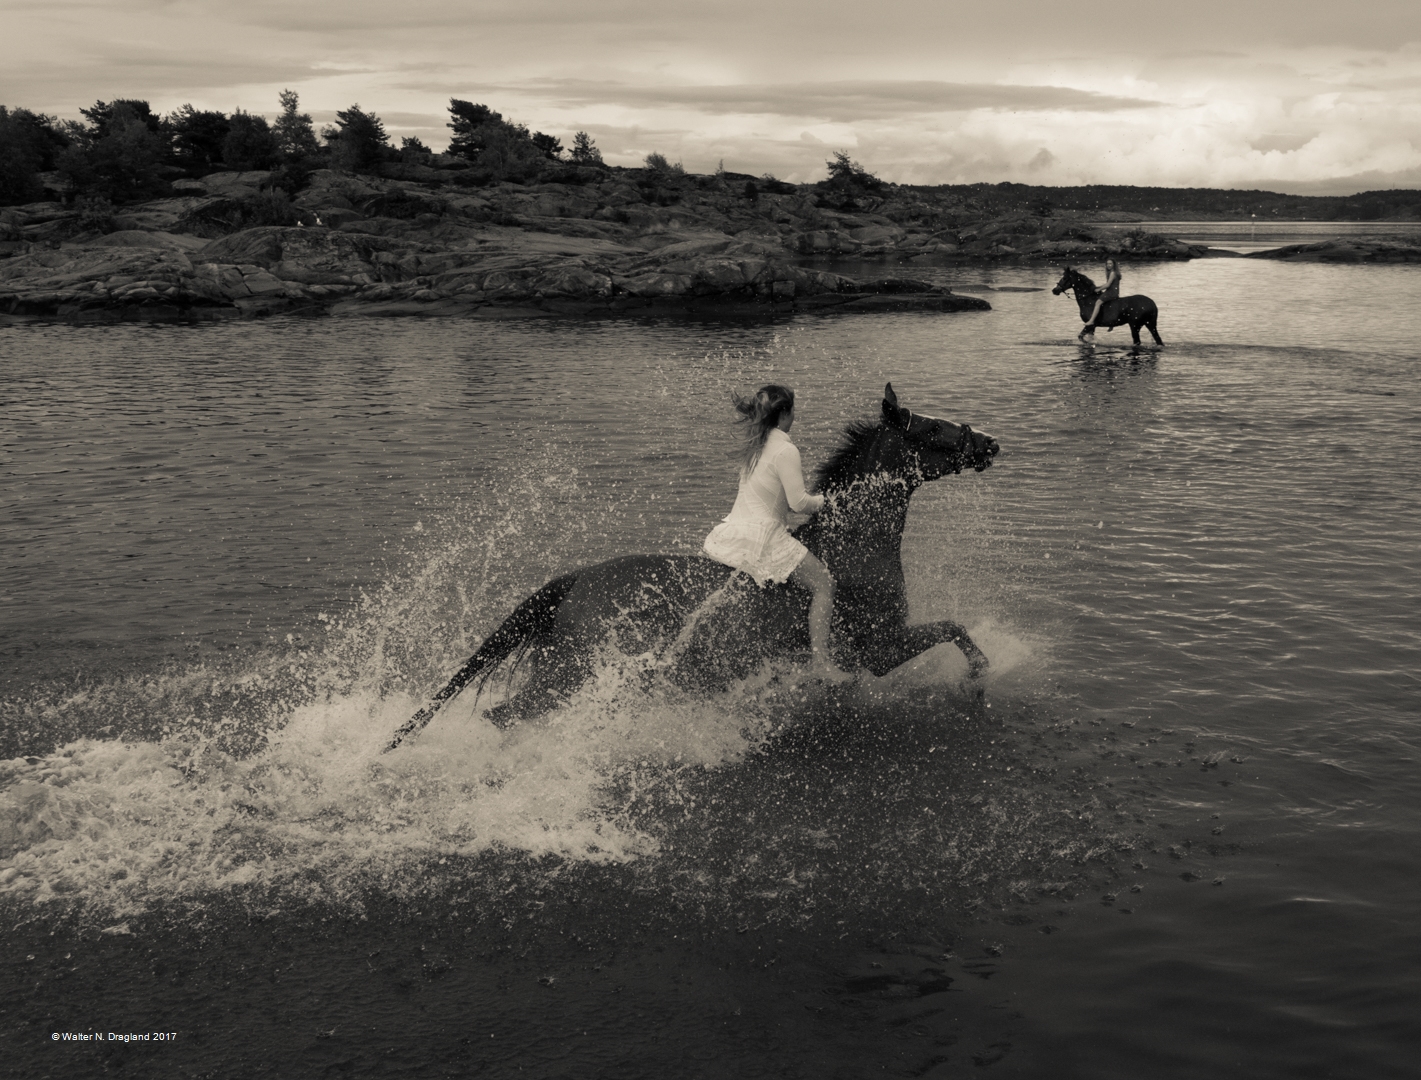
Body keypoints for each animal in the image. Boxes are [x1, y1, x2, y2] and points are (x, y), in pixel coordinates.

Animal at [385, 384, 1000, 751]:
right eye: (933, 428)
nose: (991, 443)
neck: (853, 542)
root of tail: (576, 581)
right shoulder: (879, 646)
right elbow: (956, 633)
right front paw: (977, 681)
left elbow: (956, 630)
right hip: (570, 677)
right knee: (504, 718)